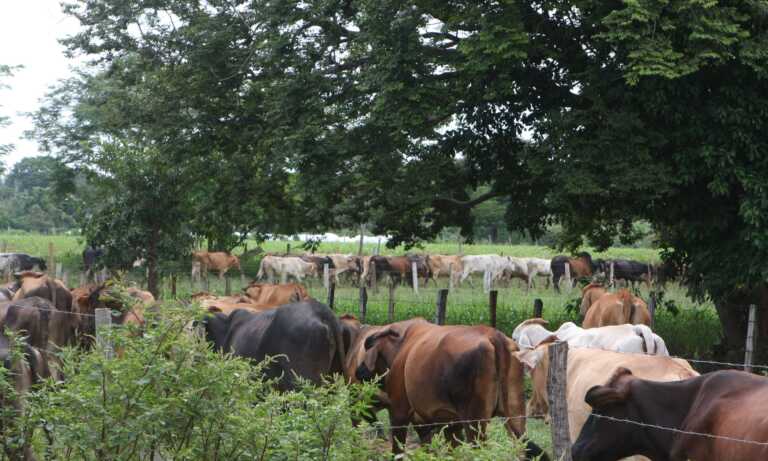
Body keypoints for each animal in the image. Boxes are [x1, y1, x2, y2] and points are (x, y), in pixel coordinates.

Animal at [356, 318, 544, 458]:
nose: (359, 371)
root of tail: (493, 335)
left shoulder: (399, 414)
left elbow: (398, 451)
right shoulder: (447, 425)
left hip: (475, 424)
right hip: (515, 417)